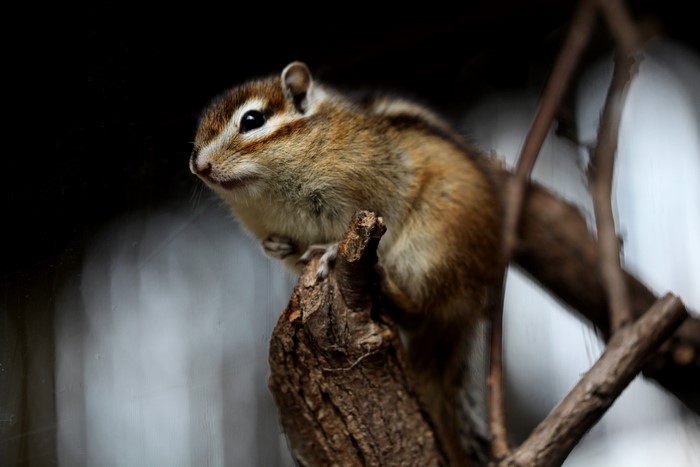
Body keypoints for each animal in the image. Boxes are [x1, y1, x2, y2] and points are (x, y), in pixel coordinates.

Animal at [190, 61, 503, 466]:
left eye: (252, 120)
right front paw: (275, 247)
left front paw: (330, 251)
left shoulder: (375, 190)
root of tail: (473, 302)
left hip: (430, 252)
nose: (199, 166)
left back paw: (385, 283)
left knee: (421, 309)